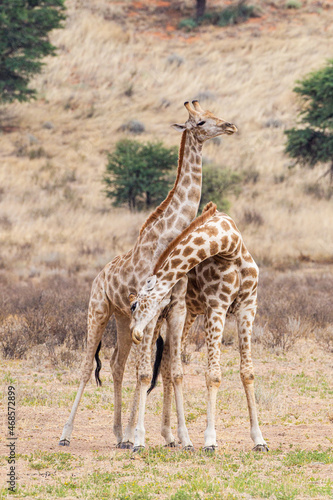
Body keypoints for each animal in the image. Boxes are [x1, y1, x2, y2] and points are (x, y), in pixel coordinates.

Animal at [58, 101, 237, 450]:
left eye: (214, 113)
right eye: (201, 121)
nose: (230, 126)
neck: (165, 239)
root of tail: (99, 276)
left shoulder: (174, 309)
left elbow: (172, 371)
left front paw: (181, 438)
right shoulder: (148, 311)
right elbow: (143, 373)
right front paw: (141, 437)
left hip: (122, 320)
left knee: (116, 365)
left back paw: (119, 434)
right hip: (98, 311)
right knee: (87, 367)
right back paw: (67, 434)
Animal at [127, 205, 268, 452]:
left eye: (134, 305)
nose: (134, 331)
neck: (231, 245)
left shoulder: (248, 306)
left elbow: (248, 373)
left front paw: (259, 439)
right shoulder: (216, 305)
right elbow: (213, 375)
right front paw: (210, 440)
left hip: (184, 315)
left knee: (166, 363)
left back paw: (170, 436)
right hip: (162, 319)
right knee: (143, 370)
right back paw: (132, 438)